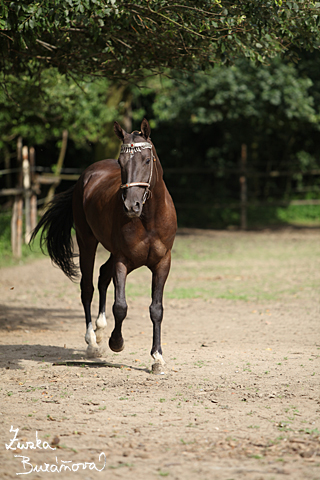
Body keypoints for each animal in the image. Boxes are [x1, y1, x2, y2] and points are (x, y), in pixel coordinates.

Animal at [31, 118, 176, 374]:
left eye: (147, 160)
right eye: (121, 162)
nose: (131, 206)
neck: (149, 218)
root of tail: (85, 176)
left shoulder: (162, 263)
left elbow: (156, 309)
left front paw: (157, 358)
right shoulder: (122, 260)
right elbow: (120, 306)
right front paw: (116, 342)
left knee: (102, 275)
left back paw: (99, 329)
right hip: (87, 242)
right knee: (87, 287)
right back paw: (92, 341)